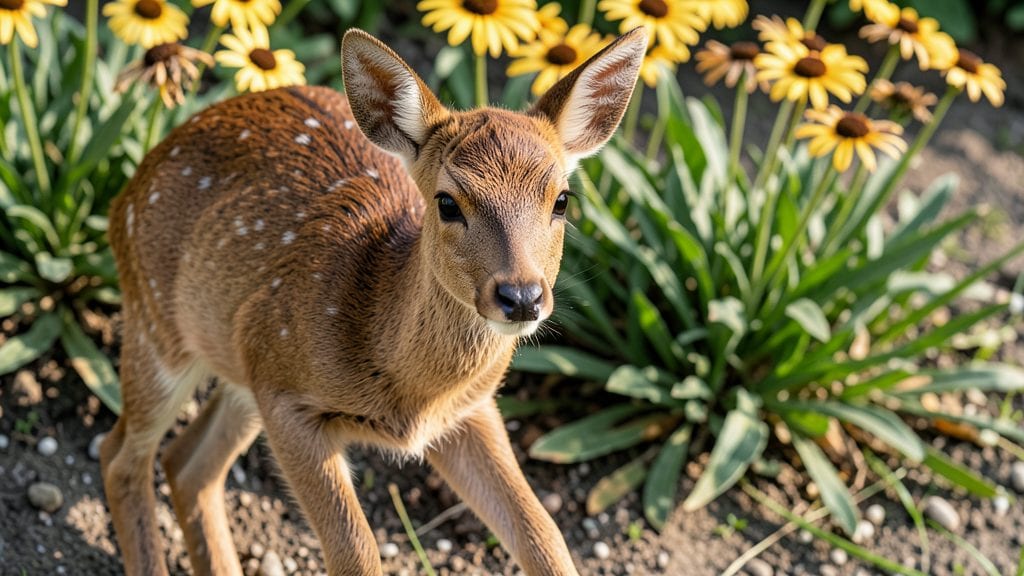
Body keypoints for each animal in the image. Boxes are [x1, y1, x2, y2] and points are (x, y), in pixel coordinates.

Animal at [100, 26, 647, 576]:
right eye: (447, 202)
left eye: (562, 200)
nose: (521, 297)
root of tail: (125, 192)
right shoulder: (288, 399)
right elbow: (356, 552)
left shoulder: (470, 409)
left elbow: (543, 534)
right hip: (157, 326)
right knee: (121, 455)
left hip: (240, 365)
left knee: (186, 463)